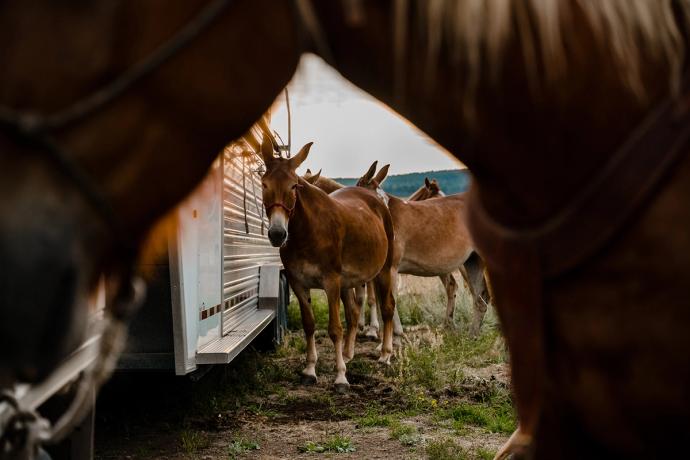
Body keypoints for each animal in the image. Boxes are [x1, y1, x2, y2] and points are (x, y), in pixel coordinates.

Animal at [260, 140, 396, 392]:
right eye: (264, 184)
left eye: (294, 186)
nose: (277, 234)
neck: (308, 231)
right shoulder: (298, 283)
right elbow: (310, 325)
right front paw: (310, 370)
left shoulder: (332, 282)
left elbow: (335, 329)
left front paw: (341, 376)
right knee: (354, 312)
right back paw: (350, 353)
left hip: (384, 270)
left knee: (388, 307)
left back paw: (385, 354)